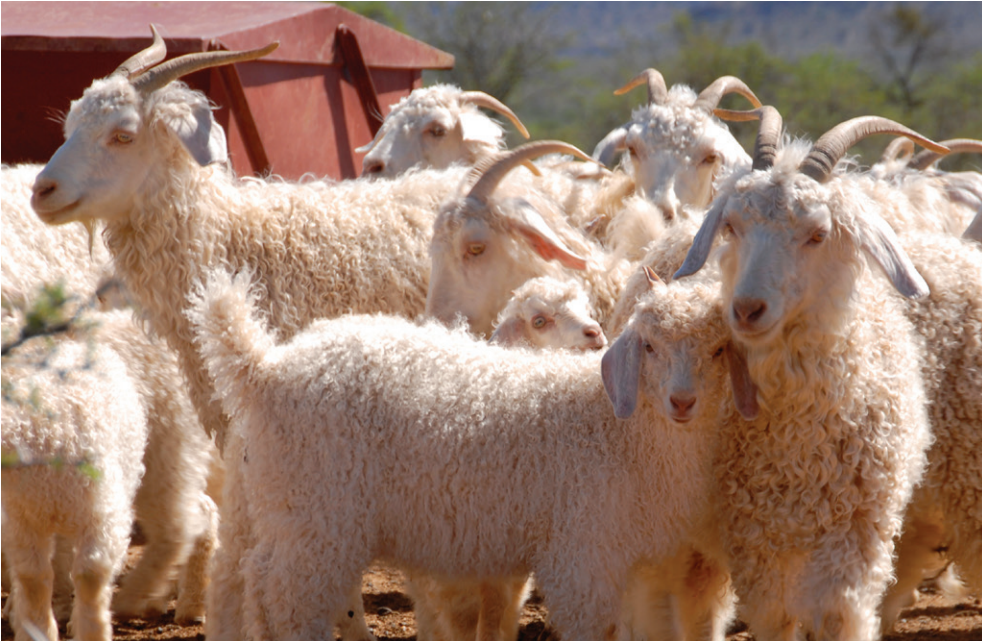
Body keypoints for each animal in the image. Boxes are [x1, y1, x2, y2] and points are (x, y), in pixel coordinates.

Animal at [672, 107, 940, 636]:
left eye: (817, 234)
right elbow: (777, 619)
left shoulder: (855, 531)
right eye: (732, 226)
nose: (746, 310)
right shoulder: (752, 534)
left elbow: (838, 614)